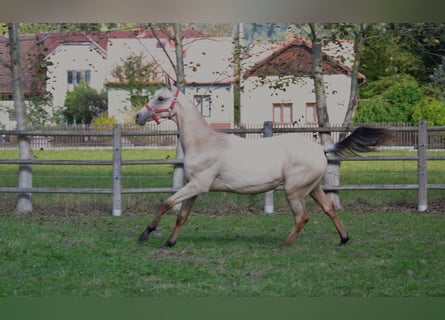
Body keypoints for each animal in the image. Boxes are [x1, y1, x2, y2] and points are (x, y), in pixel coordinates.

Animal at [134, 82, 386, 248]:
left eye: (160, 98)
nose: (138, 116)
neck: (204, 142)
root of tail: (321, 149)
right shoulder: (193, 187)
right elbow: (182, 216)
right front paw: (169, 242)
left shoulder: (198, 185)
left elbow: (167, 203)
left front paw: (145, 234)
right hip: (313, 188)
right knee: (329, 208)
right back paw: (343, 239)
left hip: (294, 191)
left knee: (302, 217)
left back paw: (284, 244)